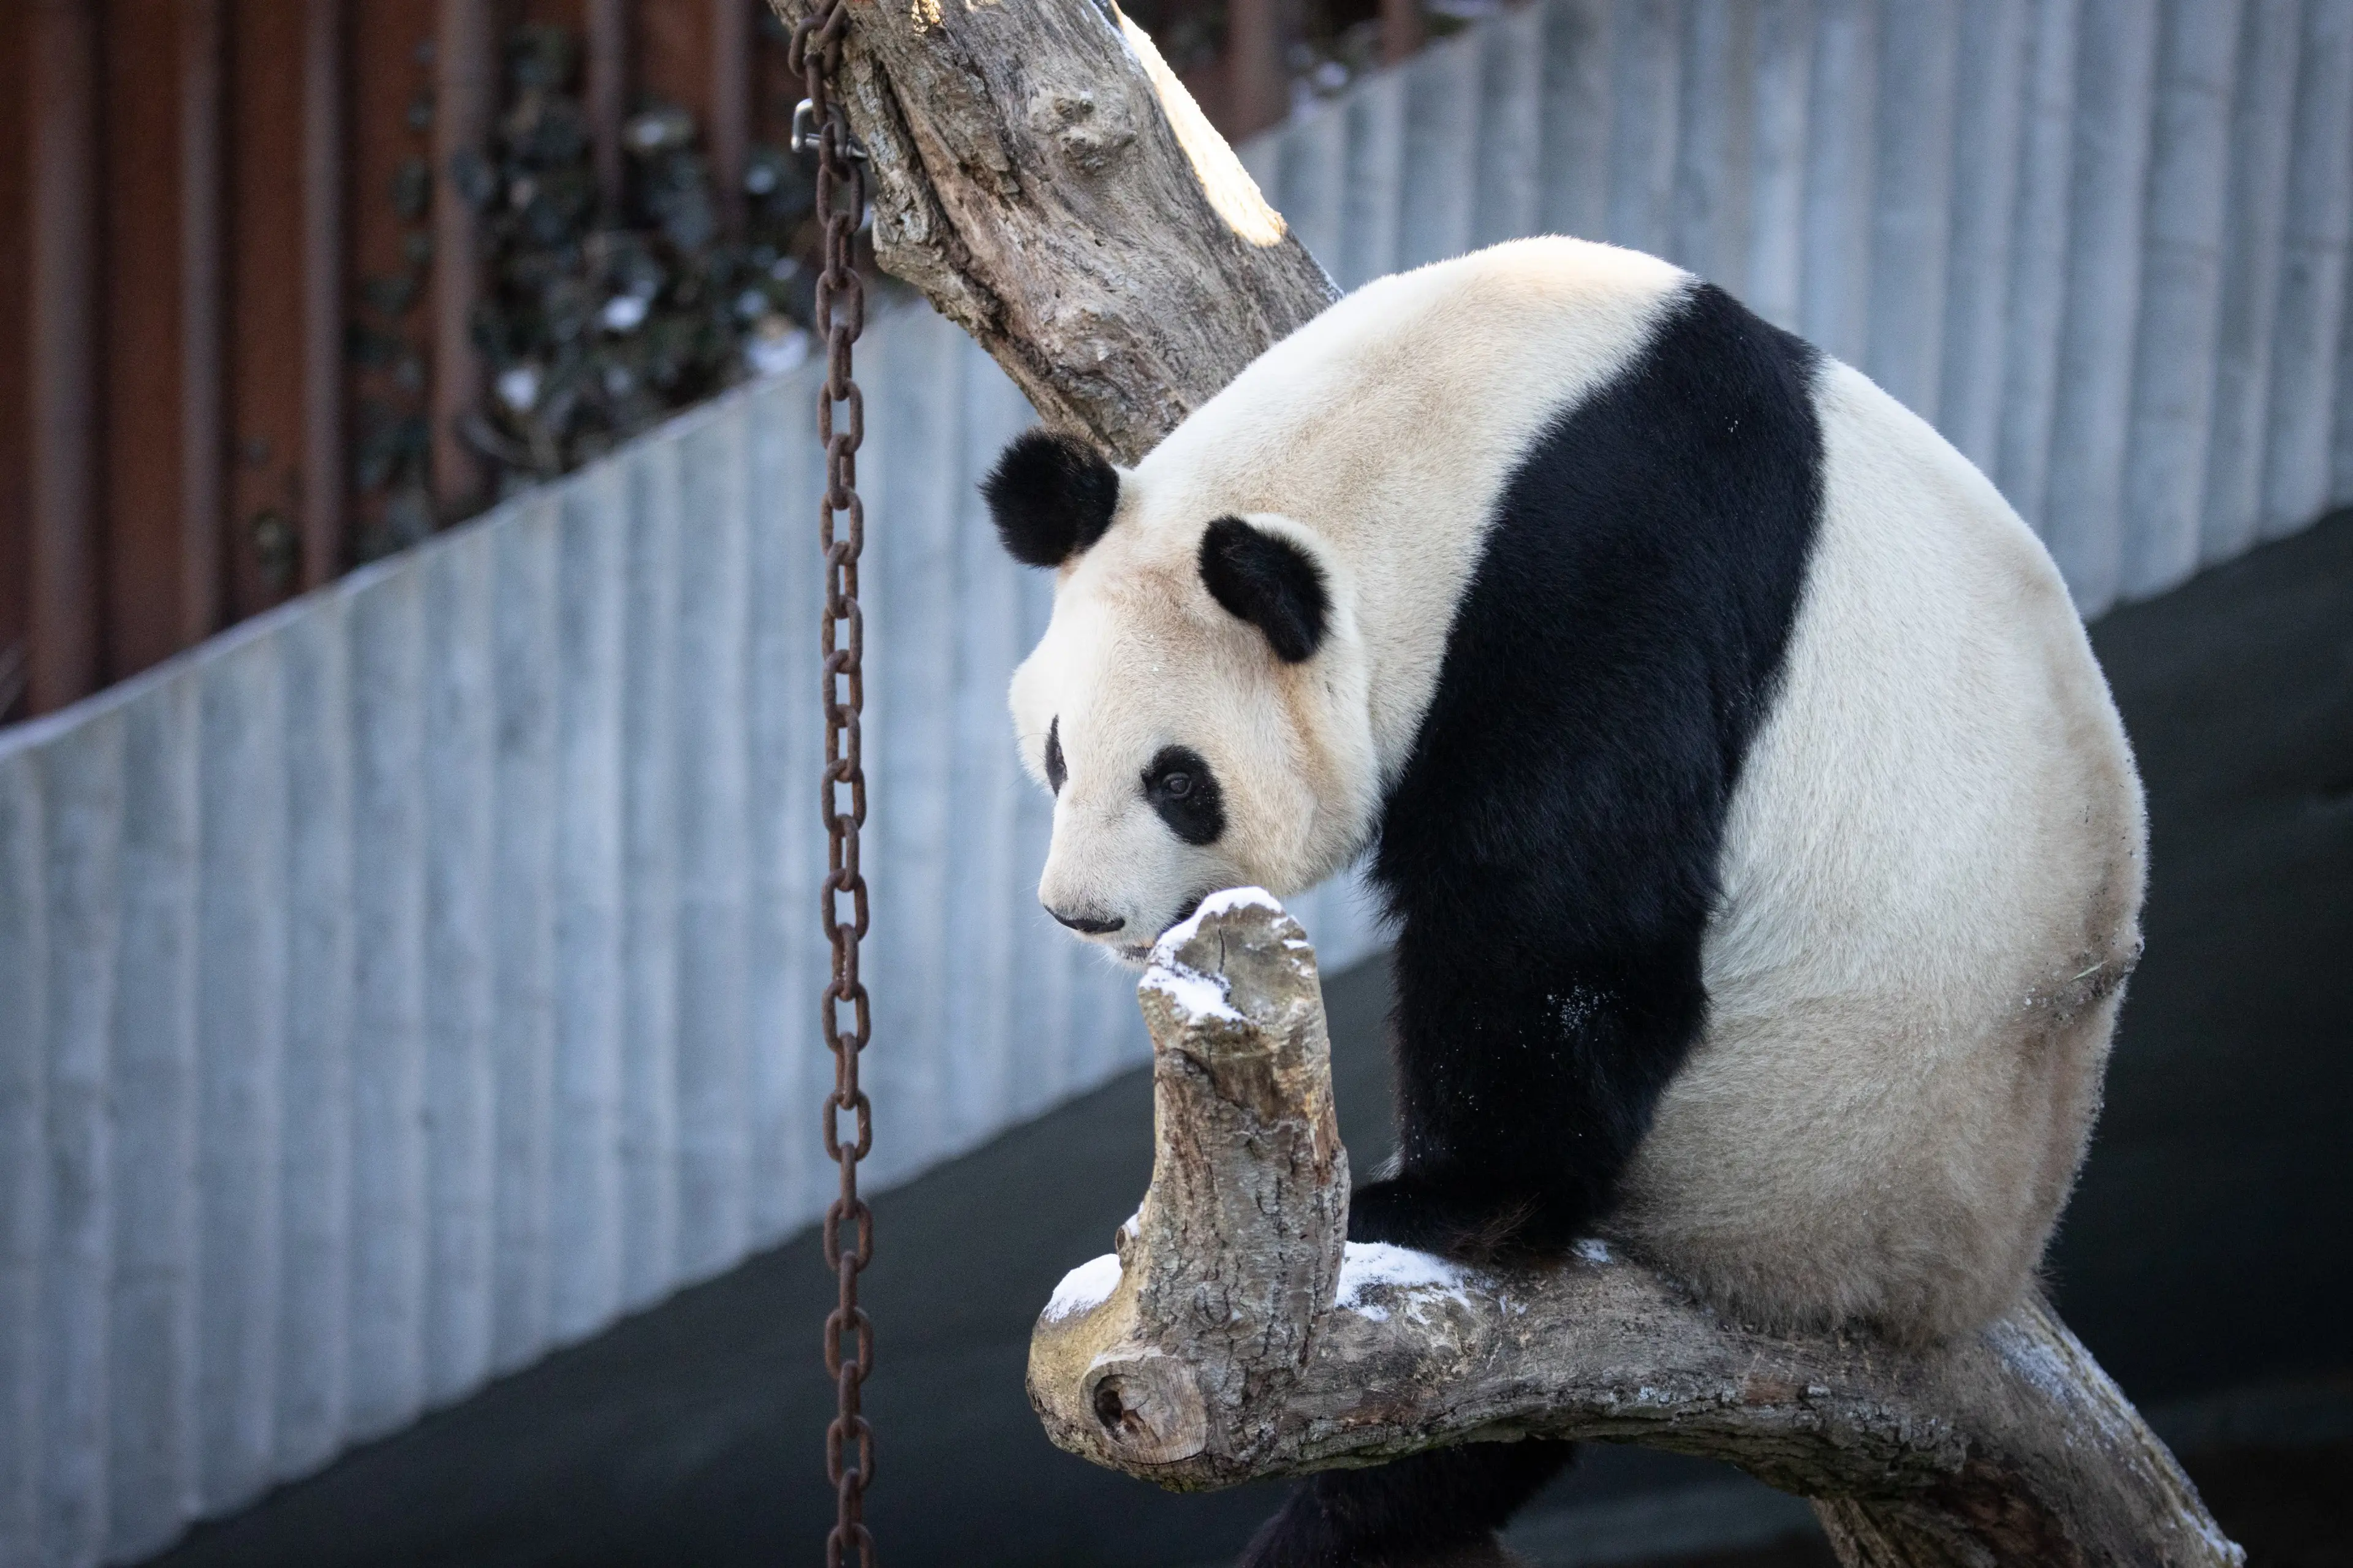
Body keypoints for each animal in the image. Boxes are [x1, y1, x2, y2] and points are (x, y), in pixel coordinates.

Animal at [980, 236, 2145, 1567]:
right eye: (1058, 752)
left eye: (1178, 780)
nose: (1083, 914)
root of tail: (1961, 1286)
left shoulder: (1613, 569)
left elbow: (1562, 925)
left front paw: (1435, 1193)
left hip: (1802, 1139)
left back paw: (1345, 1514)